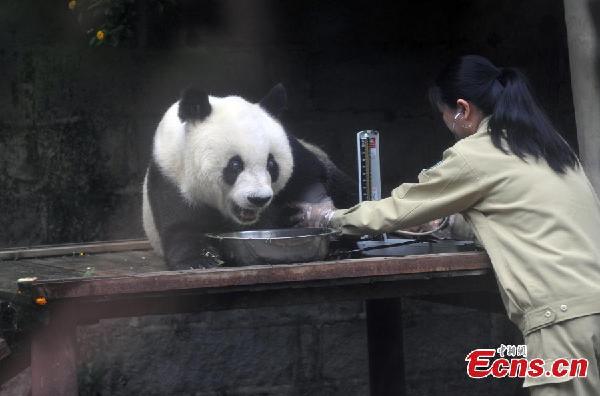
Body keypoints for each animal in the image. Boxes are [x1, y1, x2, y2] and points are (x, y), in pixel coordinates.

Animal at [141, 83, 356, 270]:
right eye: (235, 165)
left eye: (272, 165)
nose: (258, 199)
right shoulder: (170, 175)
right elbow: (180, 227)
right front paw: (200, 260)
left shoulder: (295, 151)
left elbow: (313, 174)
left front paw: (310, 206)